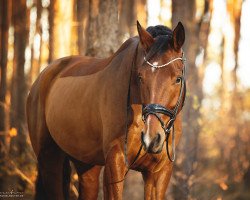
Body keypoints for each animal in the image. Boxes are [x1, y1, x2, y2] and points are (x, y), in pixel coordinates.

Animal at [26, 21, 186, 199]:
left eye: (178, 79)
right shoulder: (115, 163)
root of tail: (42, 77)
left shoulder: (159, 172)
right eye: (140, 77)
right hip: (49, 160)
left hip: (86, 165)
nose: (151, 138)